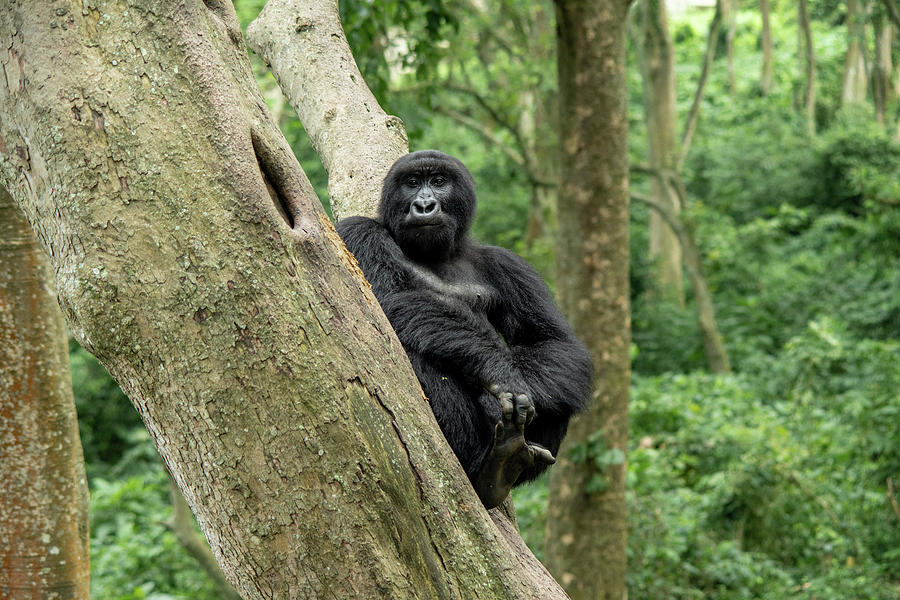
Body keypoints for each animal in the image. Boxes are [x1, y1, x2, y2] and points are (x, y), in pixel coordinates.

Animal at [334, 150, 596, 506]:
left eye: (439, 181)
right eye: (412, 182)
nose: (425, 205)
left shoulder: (507, 264)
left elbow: (552, 343)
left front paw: (505, 387)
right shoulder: (359, 231)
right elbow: (387, 300)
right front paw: (498, 371)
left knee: (559, 378)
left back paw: (503, 465)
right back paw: (492, 468)